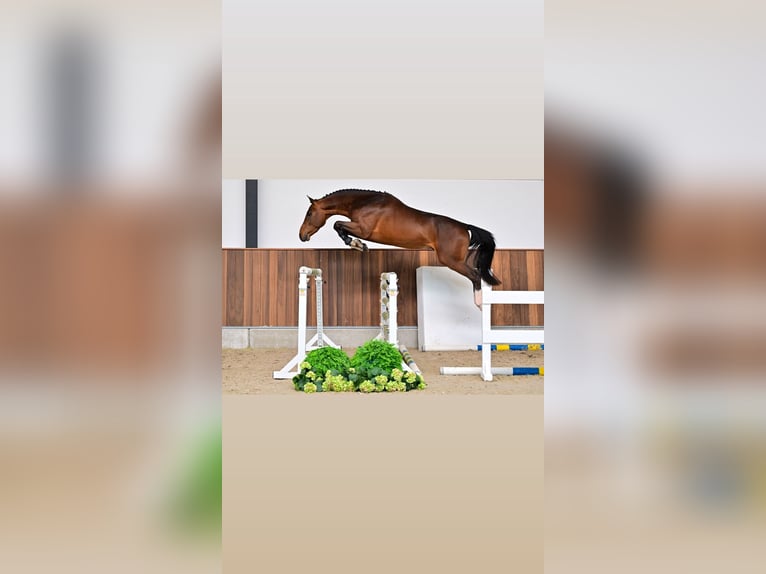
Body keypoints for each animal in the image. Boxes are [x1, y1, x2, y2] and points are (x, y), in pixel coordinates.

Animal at [298, 189, 500, 306]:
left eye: (309, 214)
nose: (302, 236)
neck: (366, 203)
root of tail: (464, 226)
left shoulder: (363, 230)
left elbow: (337, 225)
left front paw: (357, 245)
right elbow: (338, 226)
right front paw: (358, 245)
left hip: (451, 261)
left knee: (475, 275)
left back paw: (480, 303)